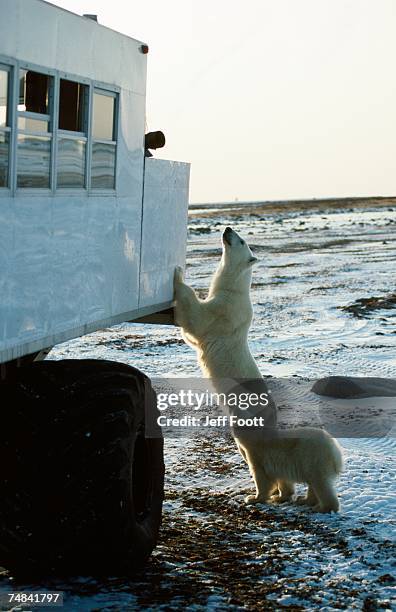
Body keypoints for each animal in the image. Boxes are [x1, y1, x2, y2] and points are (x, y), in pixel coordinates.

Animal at [173, 225, 344, 512]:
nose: (227, 228)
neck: (236, 289)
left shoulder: (225, 311)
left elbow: (197, 319)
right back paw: (287, 496)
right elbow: (191, 336)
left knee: (263, 463)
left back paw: (269, 496)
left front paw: (177, 276)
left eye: (241, 240)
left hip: (252, 428)